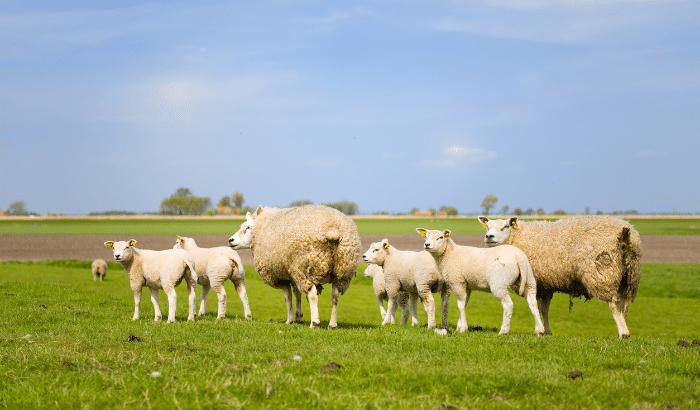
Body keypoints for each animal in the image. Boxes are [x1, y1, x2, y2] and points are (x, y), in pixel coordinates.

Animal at [416, 229, 548, 334]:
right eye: (425, 236)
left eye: (440, 237)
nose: (427, 245)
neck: (449, 254)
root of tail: (518, 256)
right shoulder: (467, 285)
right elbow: (464, 304)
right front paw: (460, 326)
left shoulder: (458, 282)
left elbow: (460, 305)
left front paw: (463, 328)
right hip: (529, 280)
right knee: (533, 303)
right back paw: (539, 330)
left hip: (499, 282)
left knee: (508, 305)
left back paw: (504, 331)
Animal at [478, 215, 644, 340]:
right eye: (487, 226)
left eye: (505, 226)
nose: (489, 237)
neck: (518, 237)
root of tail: (625, 233)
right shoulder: (546, 285)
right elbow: (544, 309)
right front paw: (546, 331)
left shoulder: (534, 282)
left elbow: (536, 307)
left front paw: (540, 330)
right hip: (630, 276)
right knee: (625, 303)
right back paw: (624, 327)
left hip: (602, 274)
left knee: (614, 303)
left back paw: (623, 333)